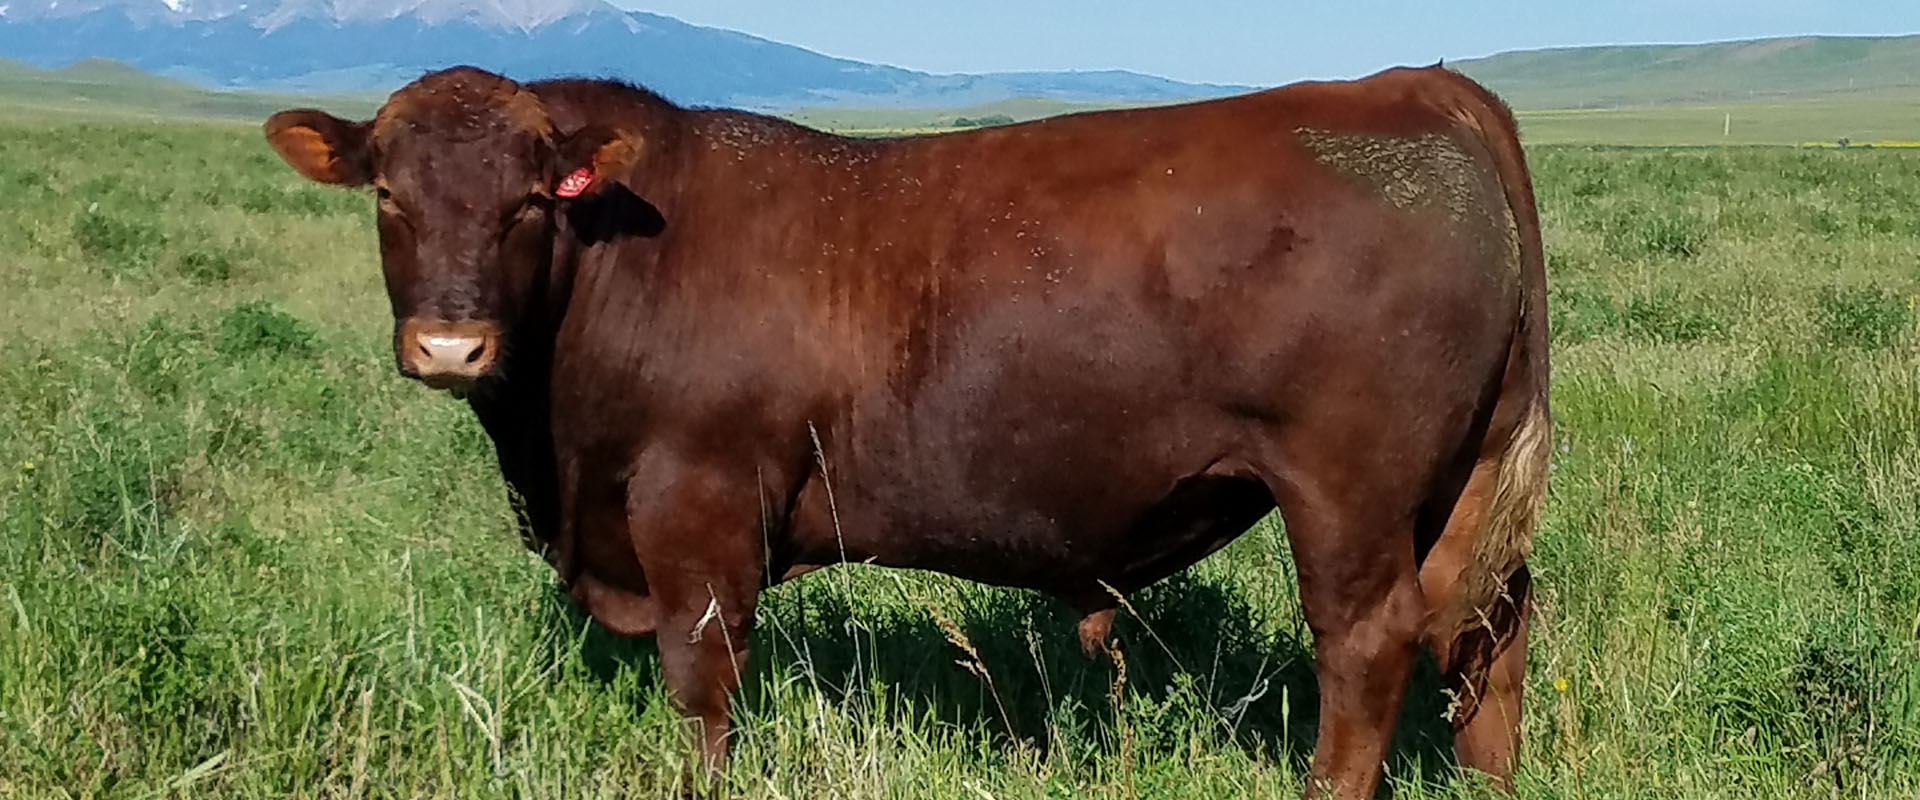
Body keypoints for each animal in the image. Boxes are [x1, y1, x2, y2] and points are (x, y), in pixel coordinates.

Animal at [263, 63, 1549, 799]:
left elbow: (702, 680)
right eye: (389, 193)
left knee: (1367, 644)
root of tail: (1414, 87)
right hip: (1459, 486)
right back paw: (1490, 781)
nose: (450, 345)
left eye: (531, 199)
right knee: (1491, 625)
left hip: (1347, 492)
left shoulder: (694, 504)